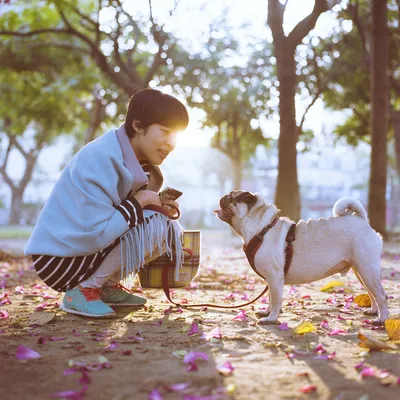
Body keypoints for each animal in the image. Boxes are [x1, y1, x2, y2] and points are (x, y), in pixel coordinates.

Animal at [216, 191, 388, 324]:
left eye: (230, 197)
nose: (223, 196)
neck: (260, 229)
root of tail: (363, 221)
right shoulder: (271, 280)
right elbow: (271, 297)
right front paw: (267, 312)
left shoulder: (274, 277)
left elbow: (275, 299)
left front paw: (271, 318)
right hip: (361, 271)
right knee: (372, 294)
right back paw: (373, 311)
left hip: (367, 270)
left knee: (381, 295)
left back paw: (381, 320)